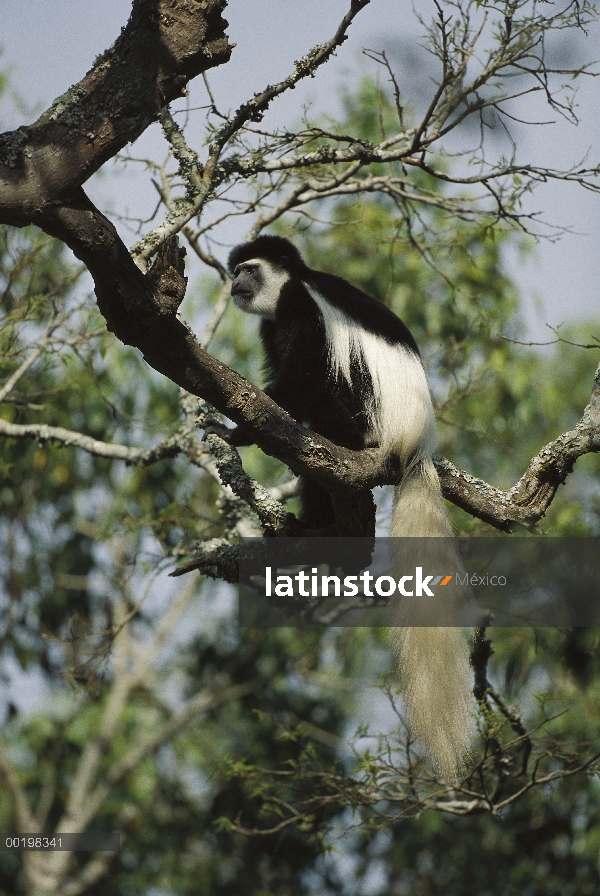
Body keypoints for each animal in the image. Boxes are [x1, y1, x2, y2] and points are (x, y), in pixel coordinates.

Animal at [225, 234, 474, 780]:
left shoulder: (299, 308)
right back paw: (325, 529)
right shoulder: (271, 325)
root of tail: (414, 445)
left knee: (322, 403)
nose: (234, 286)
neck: (292, 284)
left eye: (249, 269)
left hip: (366, 417)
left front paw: (237, 430)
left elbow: (301, 375)